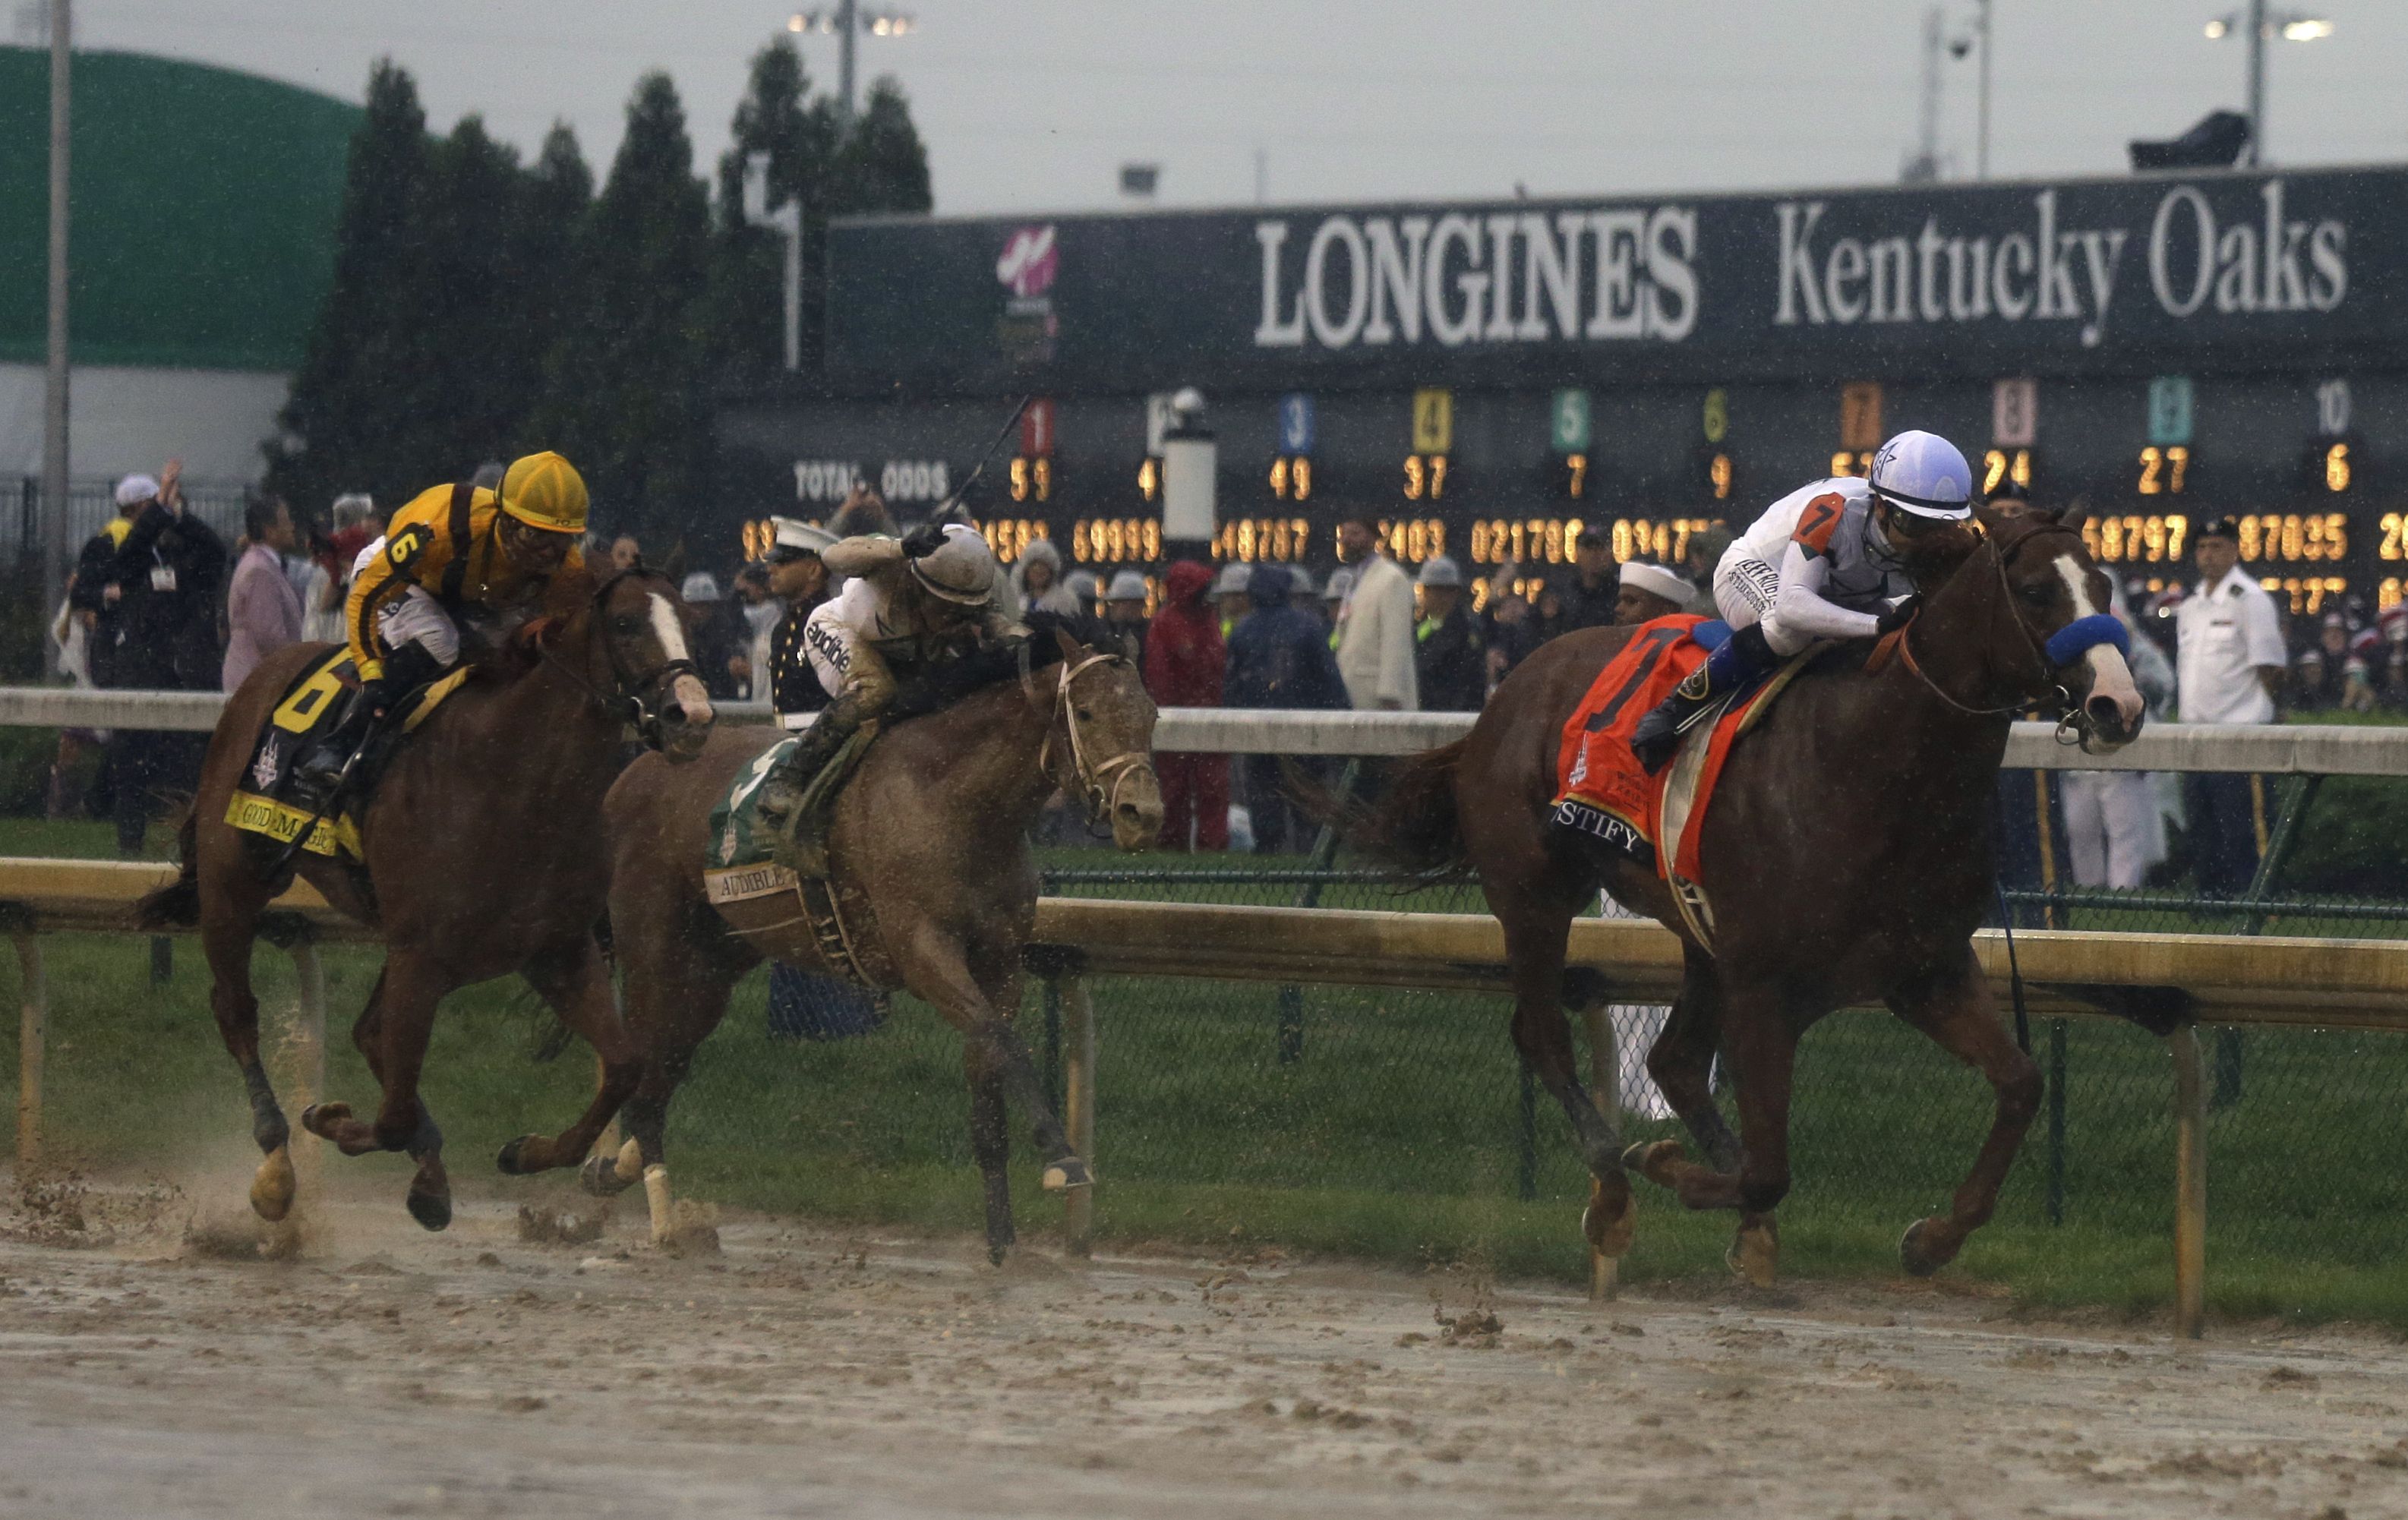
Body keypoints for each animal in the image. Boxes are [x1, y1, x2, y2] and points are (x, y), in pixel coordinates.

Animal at [135, 566, 708, 1233]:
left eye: (689, 621)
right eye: (624, 623)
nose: (692, 715)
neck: (515, 780)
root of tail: (263, 671)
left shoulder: (556, 951)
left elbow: (622, 1068)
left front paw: (526, 1152)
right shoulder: (422, 955)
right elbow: (391, 1116)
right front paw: (328, 1120)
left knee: (368, 1034)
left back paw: (427, 1174)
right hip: (235, 883)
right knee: (237, 1011)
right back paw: (277, 1168)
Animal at [587, 617, 1160, 1262]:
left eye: (1151, 714)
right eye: (1084, 712)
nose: (1143, 814)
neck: (956, 799)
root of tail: (636, 770)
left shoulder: (1000, 963)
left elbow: (988, 1079)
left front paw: (1002, 1240)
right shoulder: (924, 952)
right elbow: (1004, 1042)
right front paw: (1064, 1160)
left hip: (714, 963)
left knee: (665, 1068)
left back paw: (615, 1170)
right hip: (651, 946)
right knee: (645, 1066)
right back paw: (661, 1220)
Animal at [1339, 510, 2148, 1281]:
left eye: (2103, 588)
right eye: (2036, 592)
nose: (2120, 705)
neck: (1879, 766)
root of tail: (1508, 689)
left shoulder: (1926, 972)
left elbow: (2021, 1084)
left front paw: (1933, 1239)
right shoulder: (1766, 985)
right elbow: (1767, 1172)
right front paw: (1661, 1162)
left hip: (1701, 939)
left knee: (1671, 1061)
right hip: (1533, 895)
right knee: (1542, 1035)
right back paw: (1613, 1188)